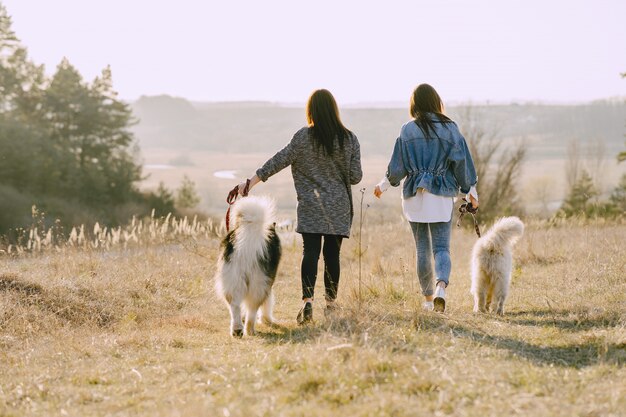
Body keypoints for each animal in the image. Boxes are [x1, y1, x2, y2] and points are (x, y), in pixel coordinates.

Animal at [216, 197, 282, 336]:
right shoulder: (269, 283)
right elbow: (268, 302)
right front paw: (267, 320)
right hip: (259, 282)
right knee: (252, 308)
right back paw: (250, 330)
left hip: (233, 279)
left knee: (235, 306)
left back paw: (237, 330)